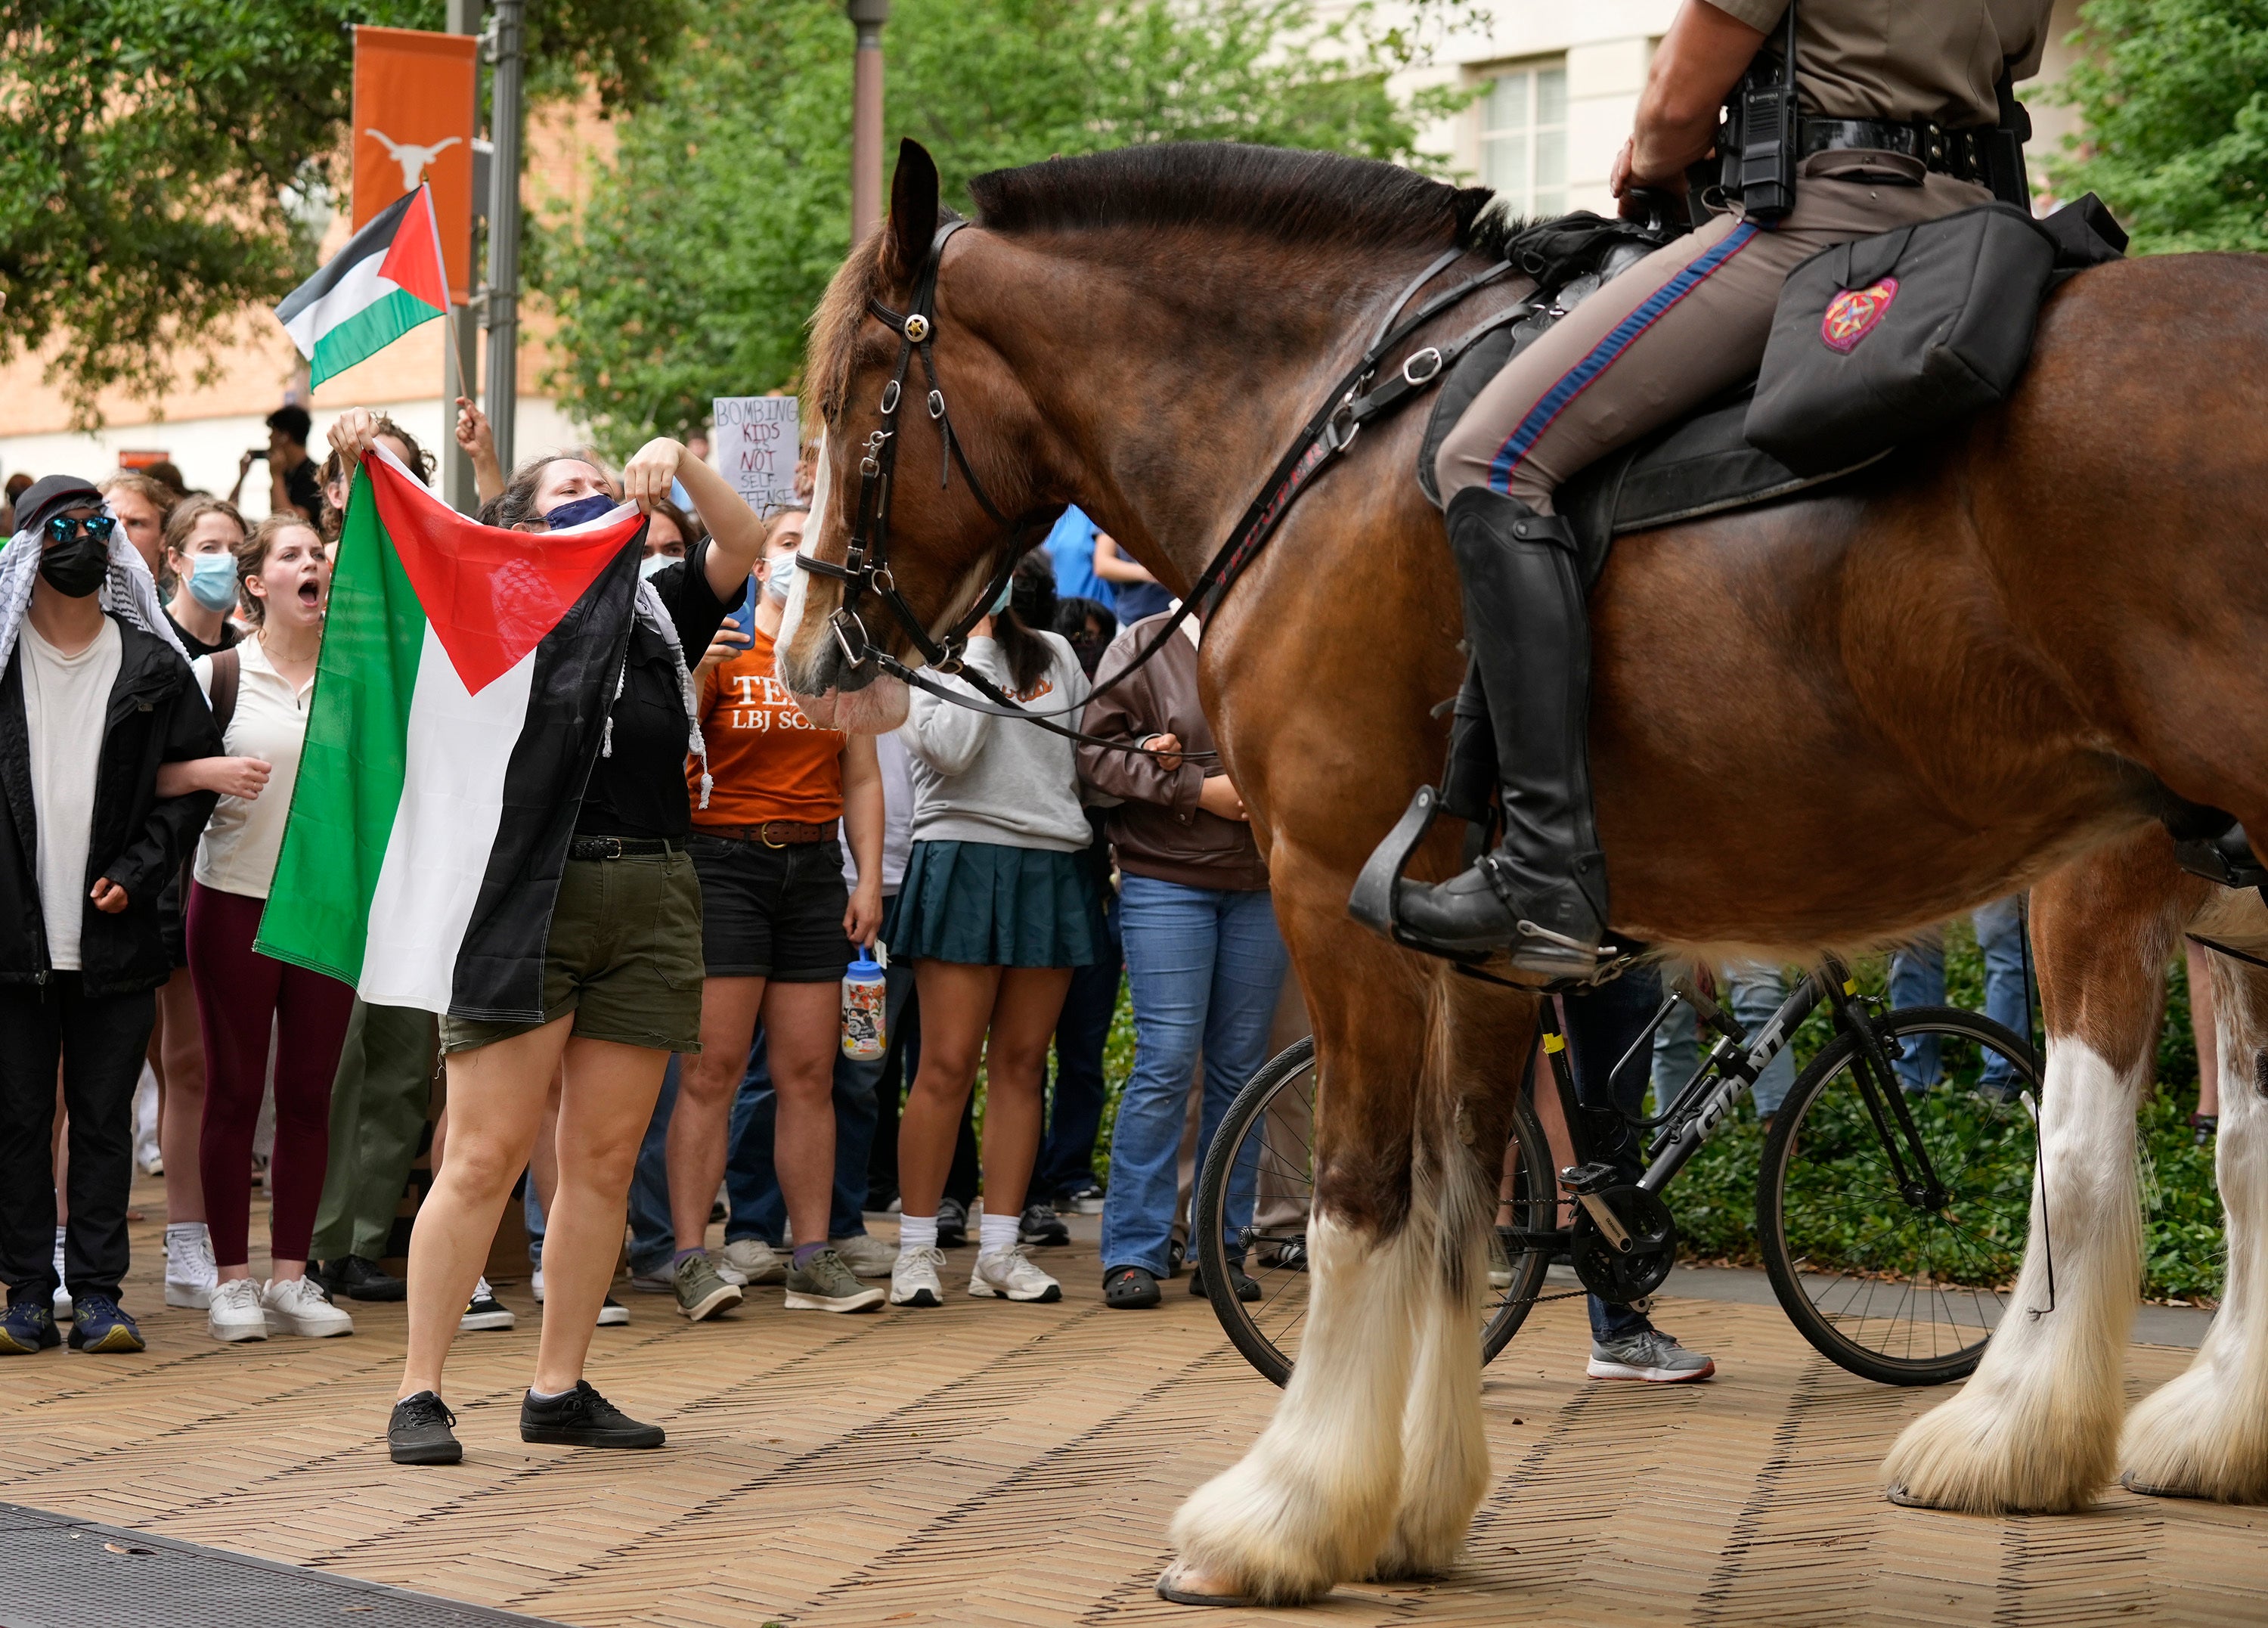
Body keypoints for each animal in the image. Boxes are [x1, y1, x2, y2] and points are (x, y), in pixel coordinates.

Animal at [780, 143, 2268, 1605]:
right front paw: (1410, 1504)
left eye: (849, 393)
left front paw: (1287, 1510)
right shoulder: (1478, 943)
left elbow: (1365, 1198)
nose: (804, 649)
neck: (1329, 426)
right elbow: (1460, 1202)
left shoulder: (1330, 889)